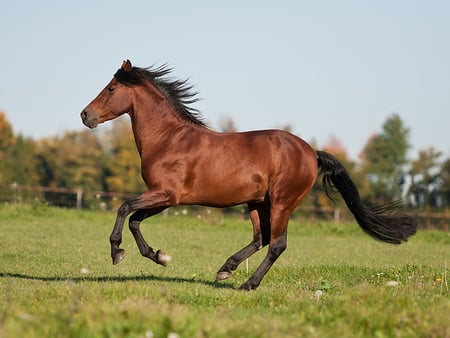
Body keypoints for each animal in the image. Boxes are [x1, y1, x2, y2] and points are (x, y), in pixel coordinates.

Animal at [79, 59, 416, 290]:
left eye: (111, 88)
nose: (85, 115)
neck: (169, 138)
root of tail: (311, 152)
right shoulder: (164, 198)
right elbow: (135, 219)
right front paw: (159, 256)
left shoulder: (166, 194)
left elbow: (124, 208)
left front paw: (117, 253)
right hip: (257, 203)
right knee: (261, 238)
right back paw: (225, 269)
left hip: (282, 202)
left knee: (277, 243)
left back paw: (247, 283)